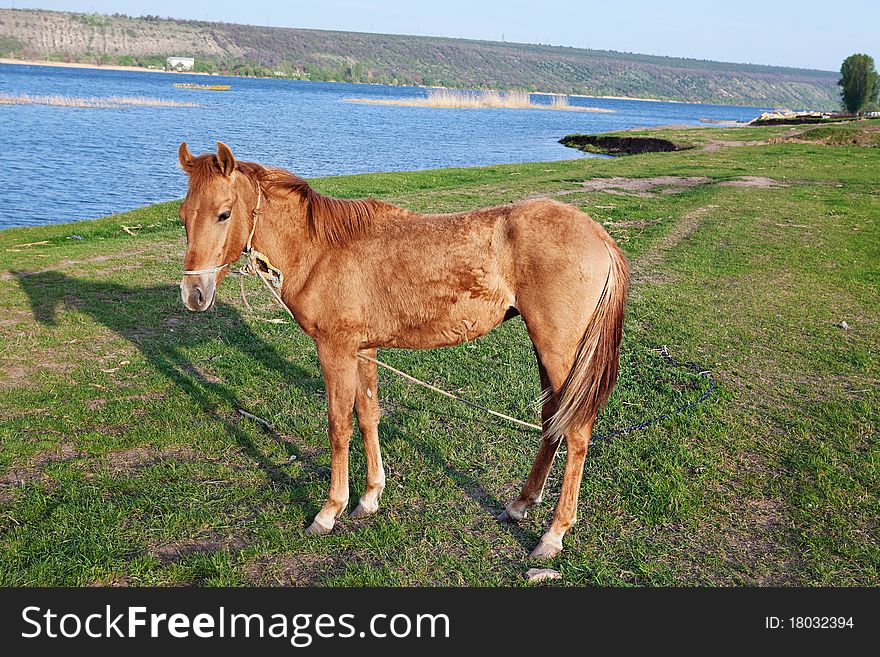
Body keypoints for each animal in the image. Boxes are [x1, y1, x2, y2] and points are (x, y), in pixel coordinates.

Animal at [177, 141, 624, 556]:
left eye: (223, 213)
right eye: (183, 217)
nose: (194, 294)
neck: (321, 251)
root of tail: (599, 236)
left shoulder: (335, 349)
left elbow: (338, 426)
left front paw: (329, 511)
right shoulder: (363, 349)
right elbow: (367, 415)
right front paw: (370, 496)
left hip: (559, 352)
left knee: (576, 431)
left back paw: (553, 534)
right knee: (552, 421)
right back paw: (520, 504)